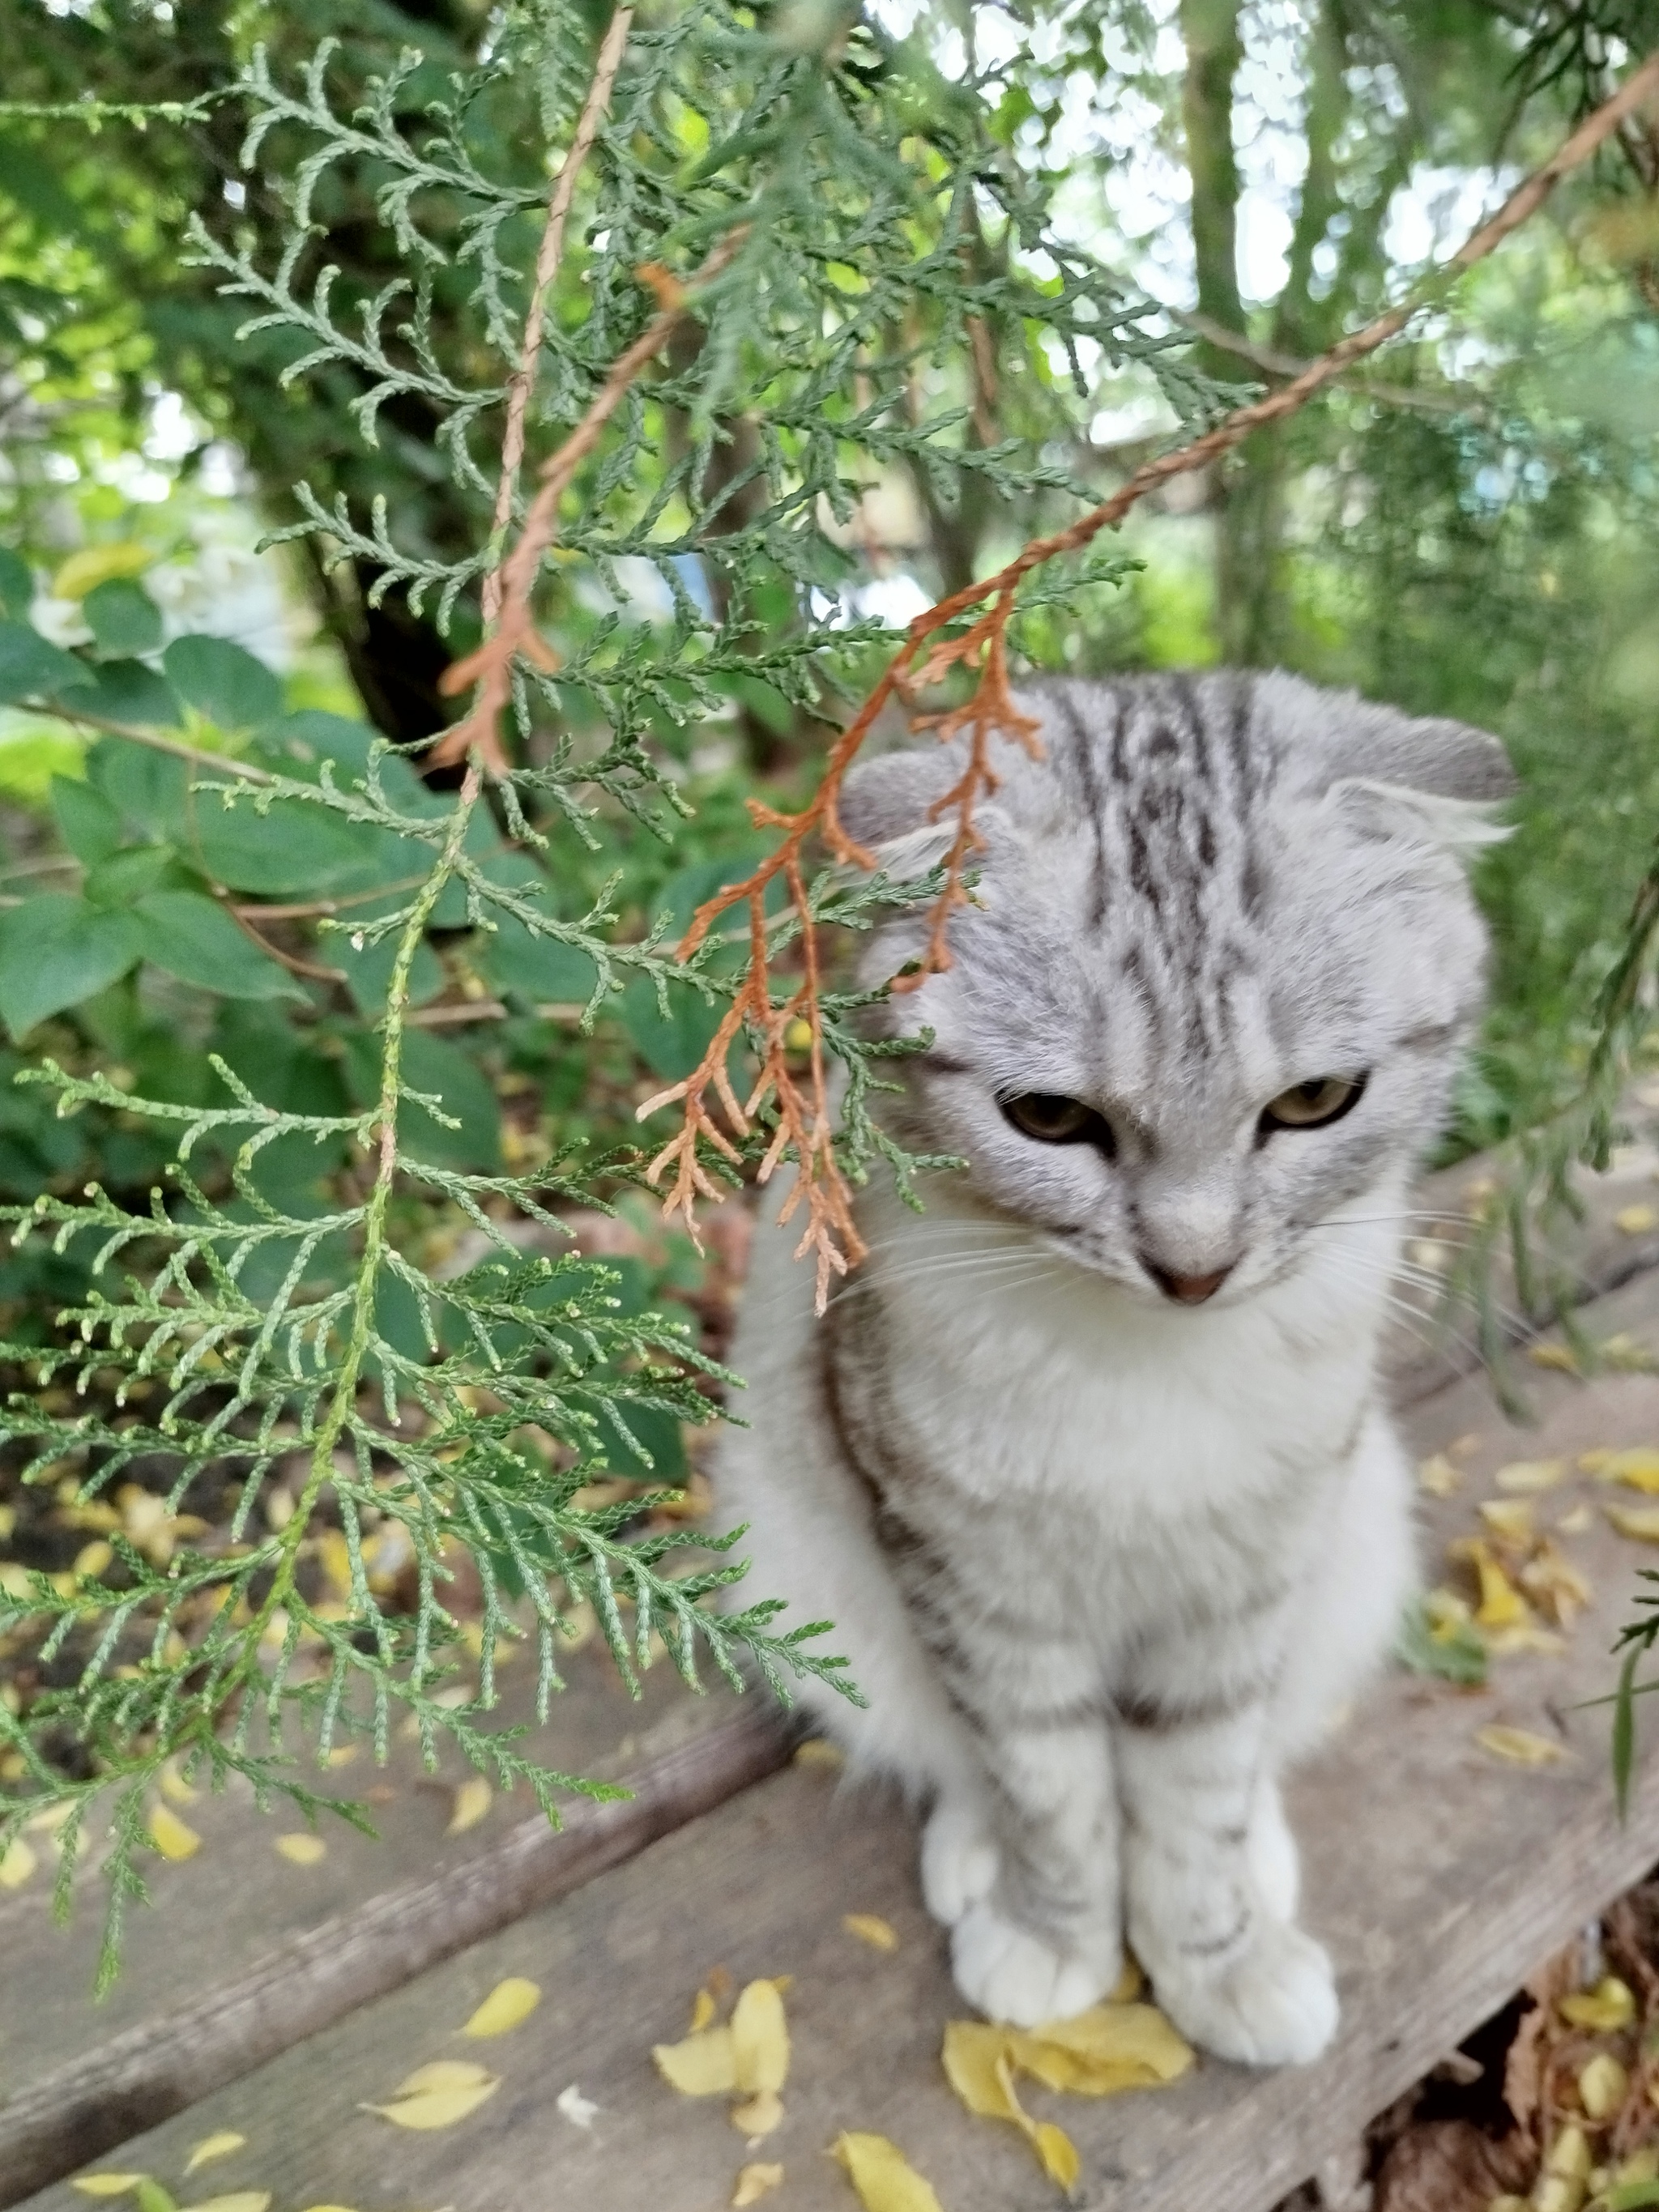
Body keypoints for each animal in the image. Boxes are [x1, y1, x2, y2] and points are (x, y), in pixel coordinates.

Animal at [721, 663, 1512, 2061]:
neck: (1151, 1370)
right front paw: (1058, 1937)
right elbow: (1046, 1784)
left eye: (1316, 1101)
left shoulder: (1246, 1576)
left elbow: (1197, 1792)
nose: (1193, 1266)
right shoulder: (977, 1581)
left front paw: (1216, 1957)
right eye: (1048, 1117)